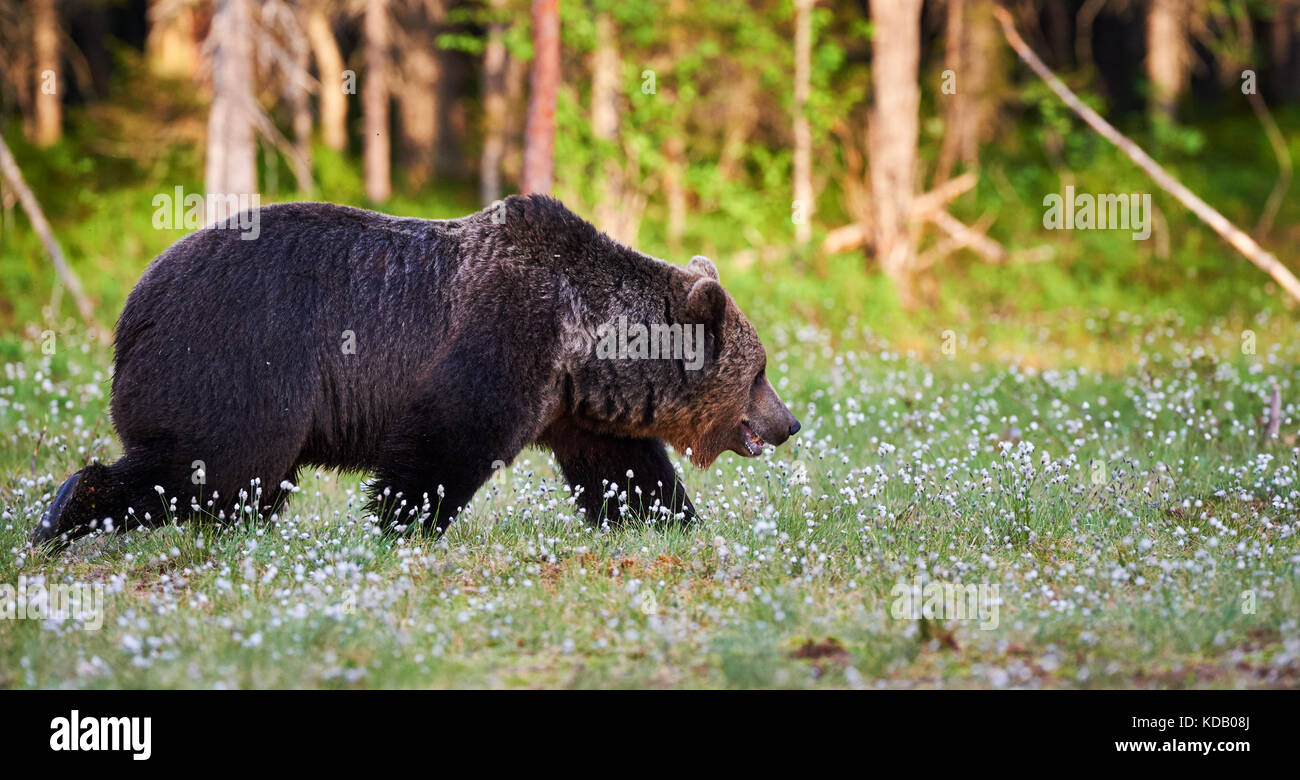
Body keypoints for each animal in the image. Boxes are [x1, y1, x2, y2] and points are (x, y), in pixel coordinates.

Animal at [30, 195, 795, 548]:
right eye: (759, 371)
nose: (787, 422)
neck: (586, 342)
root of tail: (131, 310)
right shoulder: (504, 338)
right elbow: (444, 443)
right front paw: (402, 523)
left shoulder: (576, 406)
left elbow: (626, 469)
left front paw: (674, 521)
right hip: (235, 362)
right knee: (210, 464)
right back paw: (67, 509)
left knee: (235, 483)